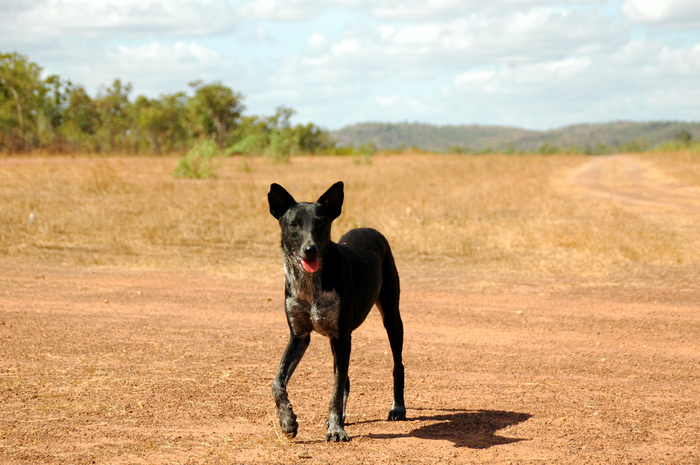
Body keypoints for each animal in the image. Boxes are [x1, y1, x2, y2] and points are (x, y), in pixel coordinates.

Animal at [268, 182, 408, 442]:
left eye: (321, 223)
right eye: (294, 224)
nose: (310, 249)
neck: (311, 284)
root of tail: (368, 228)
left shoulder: (343, 337)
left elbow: (334, 390)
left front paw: (336, 429)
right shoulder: (299, 336)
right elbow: (277, 382)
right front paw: (288, 421)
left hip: (392, 318)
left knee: (397, 366)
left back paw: (397, 408)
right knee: (345, 380)